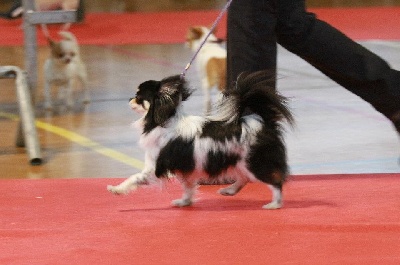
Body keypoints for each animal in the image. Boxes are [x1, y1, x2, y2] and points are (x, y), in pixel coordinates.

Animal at [107, 70, 294, 208]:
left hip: (256, 163)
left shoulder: (155, 166)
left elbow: (135, 178)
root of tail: (262, 122)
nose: (129, 98)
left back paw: (275, 204)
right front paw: (185, 202)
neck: (163, 120)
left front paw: (117, 189)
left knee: (275, 182)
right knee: (244, 178)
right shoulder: (186, 168)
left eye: (139, 97)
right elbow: (188, 186)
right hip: (240, 162)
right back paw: (229, 191)